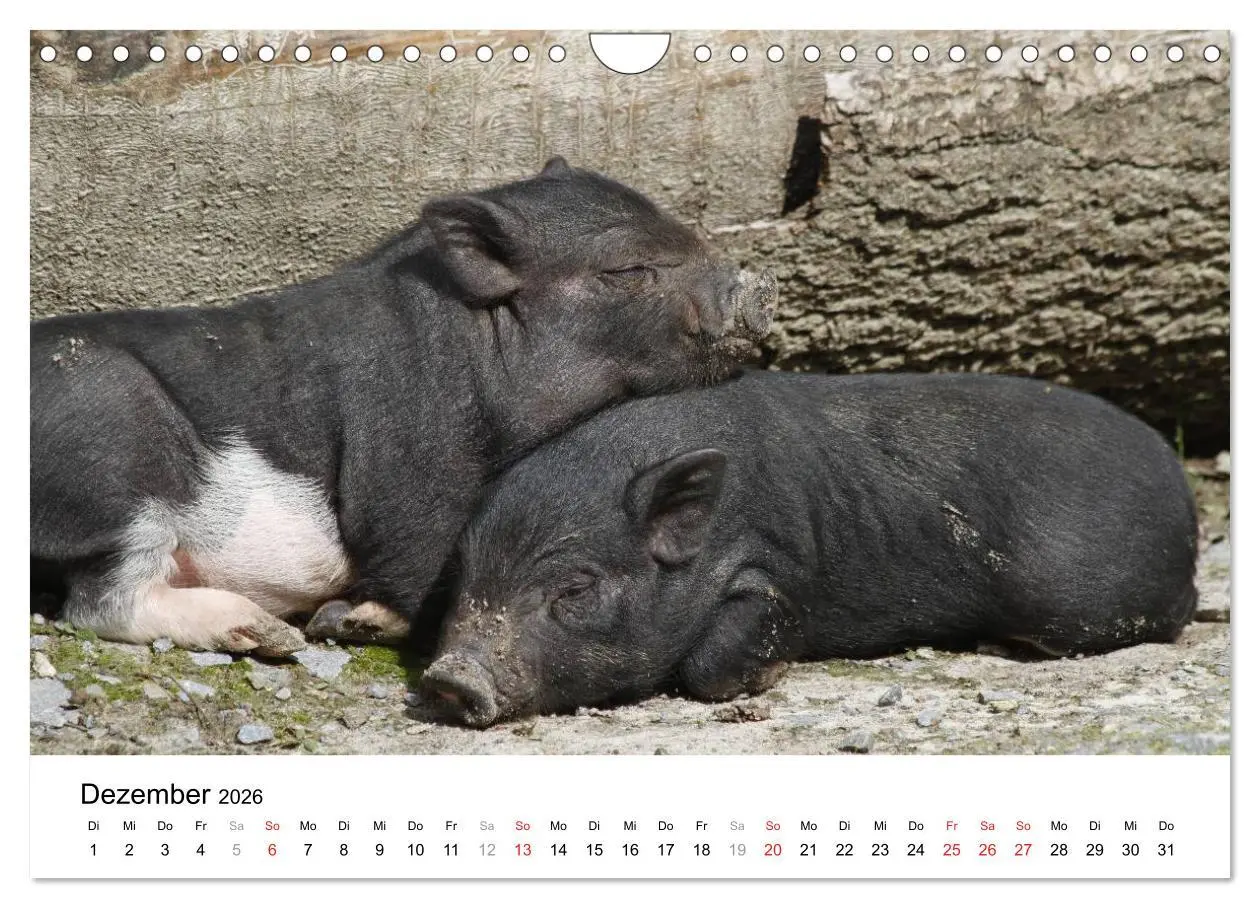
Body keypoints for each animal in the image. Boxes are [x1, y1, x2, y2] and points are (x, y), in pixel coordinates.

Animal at [30, 158, 777, 655]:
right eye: (627, 270)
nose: (757, 284)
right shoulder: (410, 458)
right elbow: (416, 546)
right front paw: (352, 622)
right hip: (111, 439)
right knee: (100, 603)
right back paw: (266, 633)